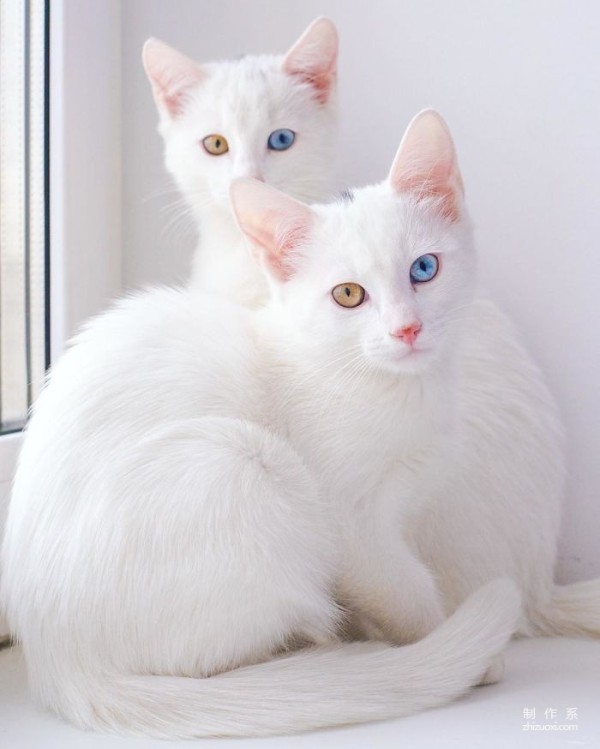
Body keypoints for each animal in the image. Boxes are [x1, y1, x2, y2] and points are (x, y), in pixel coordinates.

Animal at [0, 109, 524, 736]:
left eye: (425, 268)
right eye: (349, 294)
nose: (407, 329)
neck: (391, 387)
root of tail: (59, 660)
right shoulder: (351, 527)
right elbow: (402, 586)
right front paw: (452, 645)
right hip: (244, 463)